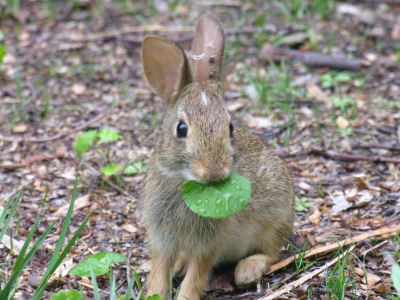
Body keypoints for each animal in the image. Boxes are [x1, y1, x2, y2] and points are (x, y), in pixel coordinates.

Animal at [141, 12, 294, 300]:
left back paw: (248, 271)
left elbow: (196, 276)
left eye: (230, 127)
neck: (185, 183)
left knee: (272, 252)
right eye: (181, 129)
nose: (214, 173)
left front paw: (185, 296)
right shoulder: (162, 237)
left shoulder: (209, 244)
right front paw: (154, 292)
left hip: (273, 219)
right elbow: (159, 269)